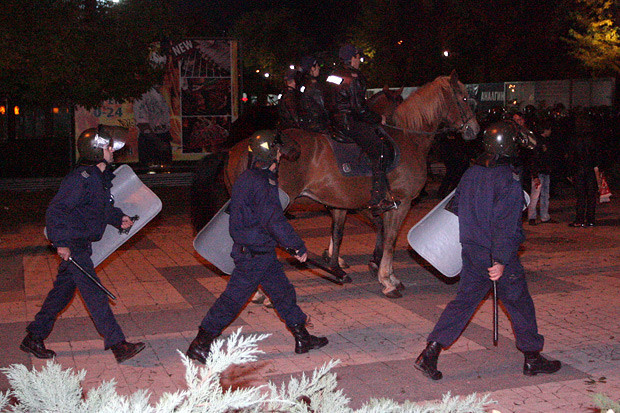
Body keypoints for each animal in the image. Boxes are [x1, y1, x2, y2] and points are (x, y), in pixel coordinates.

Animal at [224, 71, 480, 296]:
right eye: (464, 98)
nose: (474, 130)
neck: (408, 138)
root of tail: (244, 148)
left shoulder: (353, 205)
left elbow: (354, 233)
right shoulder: (400, 203)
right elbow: (390, 239)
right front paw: (387, 280)